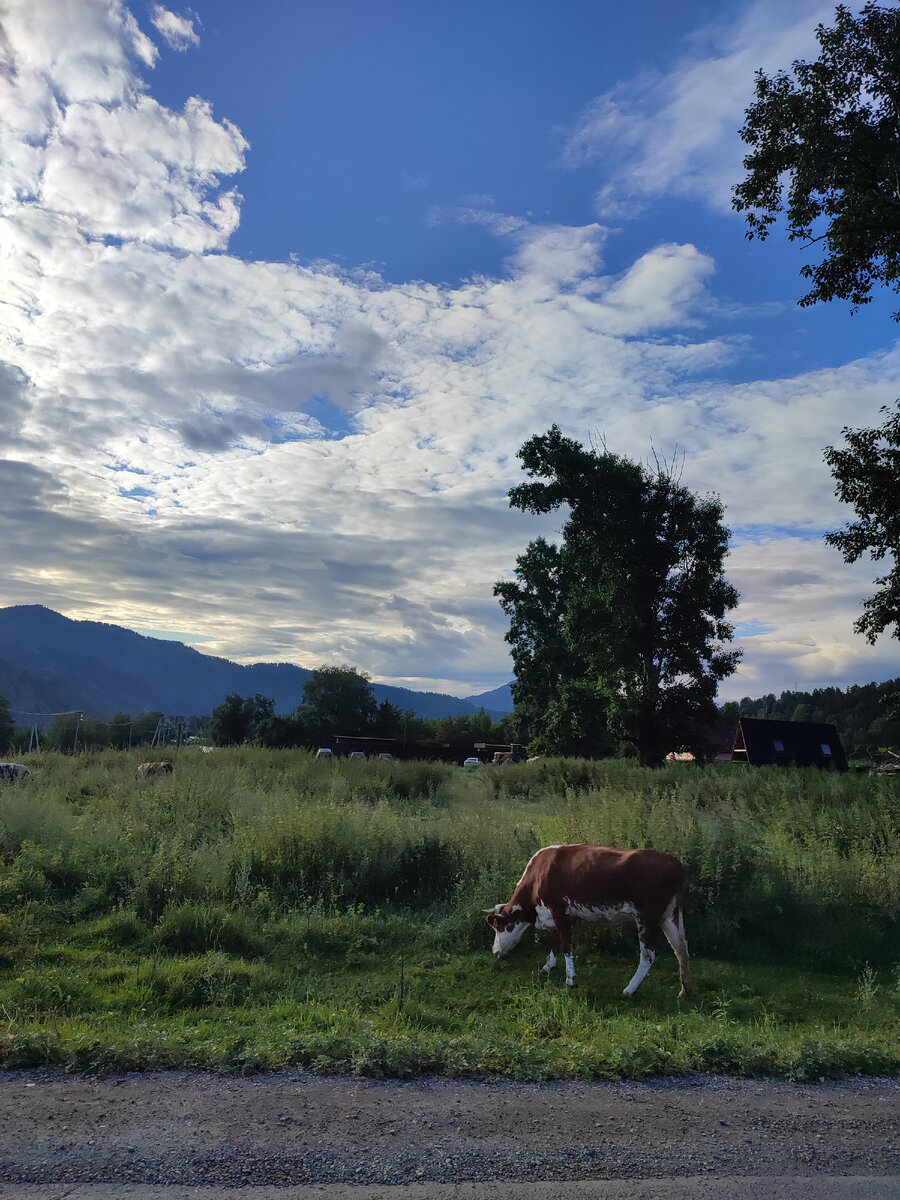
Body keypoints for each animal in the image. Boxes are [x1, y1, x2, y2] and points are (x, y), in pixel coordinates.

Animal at [487, 840, 691, 998]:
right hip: (670, 914)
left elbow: (566, 946)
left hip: (647, 917)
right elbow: (555, 942)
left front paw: (570, 980)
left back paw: (629, 989)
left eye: (497, 926)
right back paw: (684, 991)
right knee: (681, 948)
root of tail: (671, 859)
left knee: (648, 954)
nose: (494, 951)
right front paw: (547, 967)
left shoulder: (559, 911)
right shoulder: (559, 916)